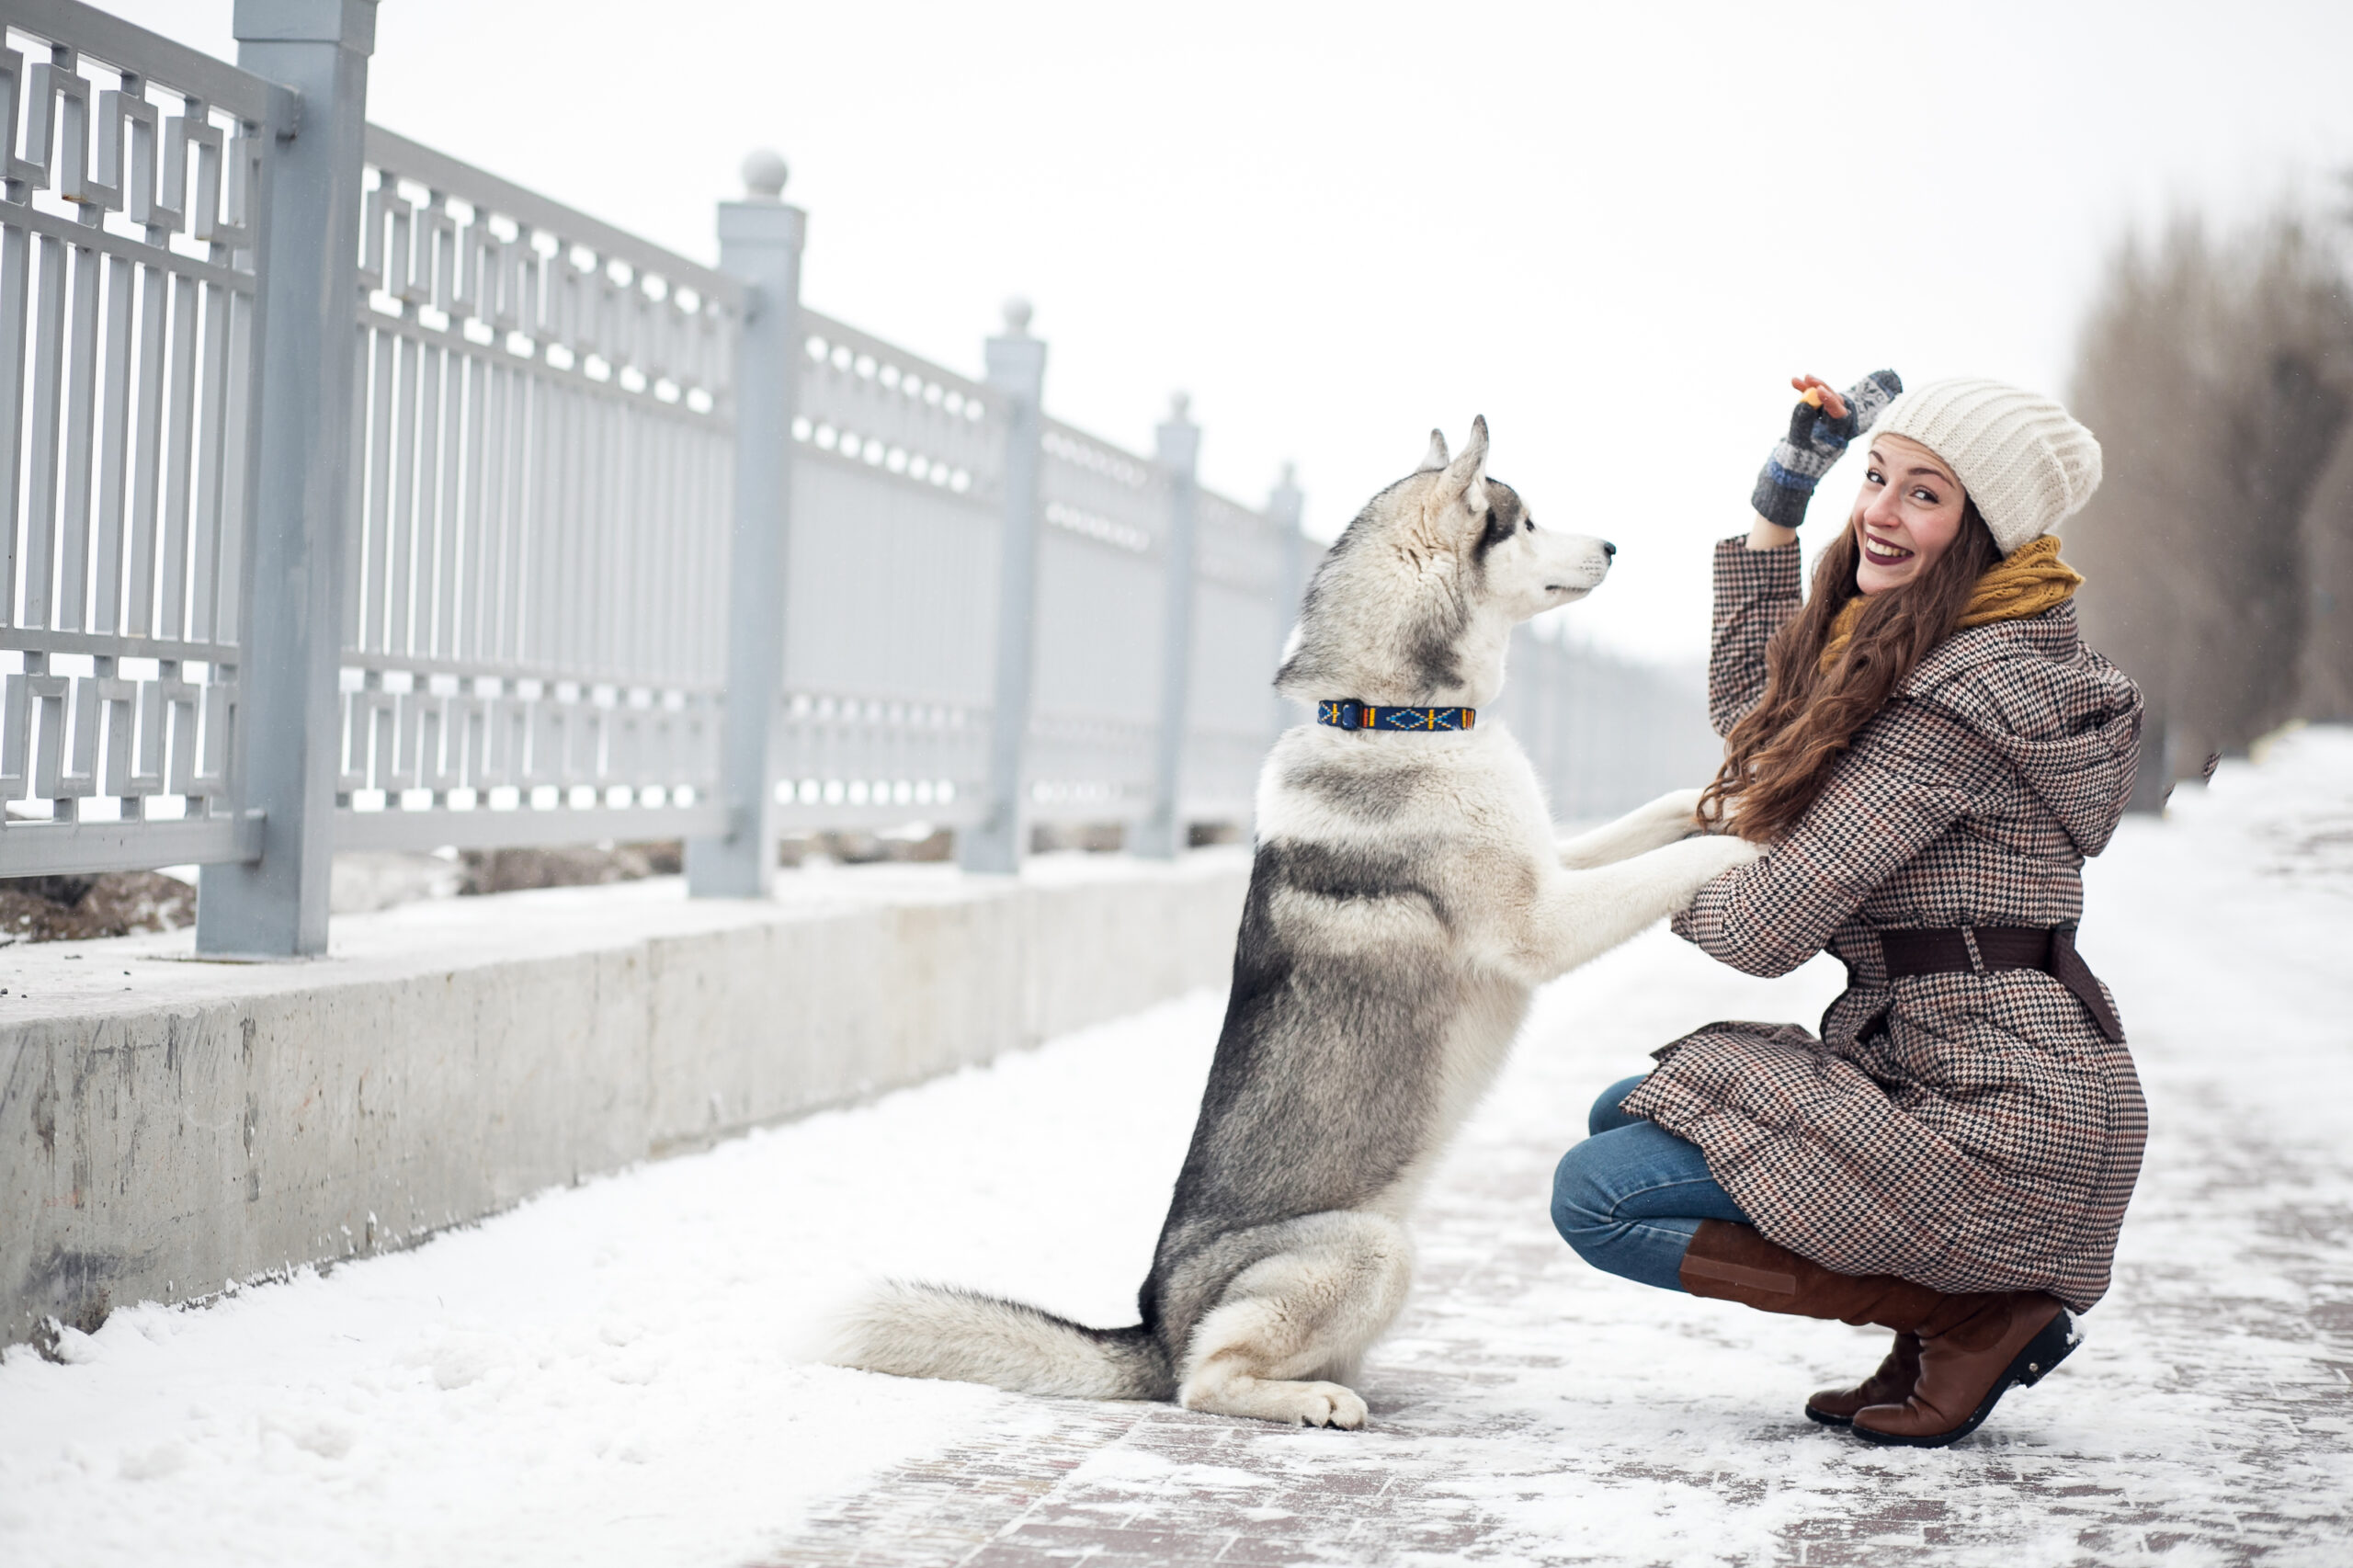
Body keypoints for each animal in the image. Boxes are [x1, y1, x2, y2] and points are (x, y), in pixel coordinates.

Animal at [837, 421, 1759, 1422]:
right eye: (1523, 521)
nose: (1614, 546)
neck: (1395, 715)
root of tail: (1152, 1321)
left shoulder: (1553, 864)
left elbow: (1656, 822)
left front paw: (1728, 803)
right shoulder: (1538, 920)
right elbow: (1668, 868)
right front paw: (1746, 849)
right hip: (1368, 1247)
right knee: (1203, 1383)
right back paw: (1309, 1401)